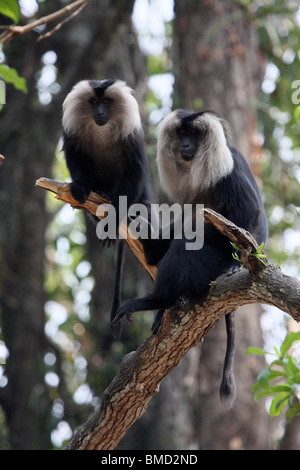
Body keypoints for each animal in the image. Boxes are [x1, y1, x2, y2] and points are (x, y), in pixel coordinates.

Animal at [61, 80, 154, 338]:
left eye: (106, 102)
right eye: (94, 102)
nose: (100, 113)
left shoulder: (131, 137)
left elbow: (134, 171)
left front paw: (116, 215)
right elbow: (74, 159)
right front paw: (81, 187)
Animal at [112, 108, 268, 406]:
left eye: (194, 134)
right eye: (182, 133)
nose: (185, 145)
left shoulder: (228, 172)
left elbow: (247, 216)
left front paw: (233, 266)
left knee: (191, 242)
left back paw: (158, 300)